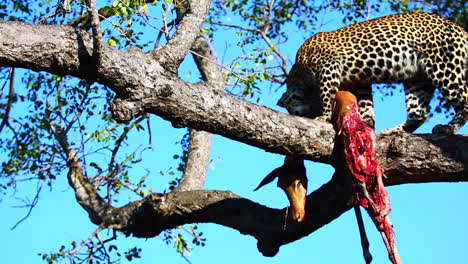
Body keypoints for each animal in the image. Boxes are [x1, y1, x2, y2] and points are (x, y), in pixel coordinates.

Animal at [280, 11, 466, 135]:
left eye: (290, 103)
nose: (295, 114)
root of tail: (459, 28)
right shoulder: (360, 82)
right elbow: (366, 103)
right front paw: (366, 121)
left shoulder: (329, 67)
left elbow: (327, 95)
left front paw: (324, 116)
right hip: (418, 80)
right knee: (419, 113)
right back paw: (395, 131)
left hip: (444, 66)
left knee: (464, 100)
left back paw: (448, 128)